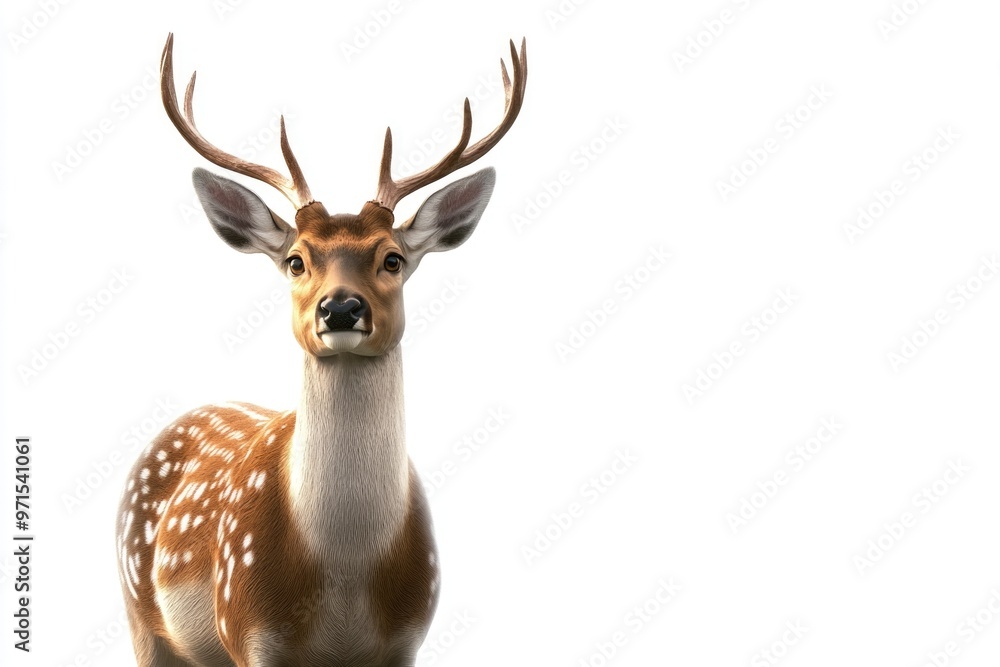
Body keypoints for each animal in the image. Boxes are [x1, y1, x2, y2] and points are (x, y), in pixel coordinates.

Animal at [114, 33, 526, 667]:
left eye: (392, 258)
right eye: (295, 260)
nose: (341, 309)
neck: (344, 585)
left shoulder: (408, 638)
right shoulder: (250, 631)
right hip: (141, 612)